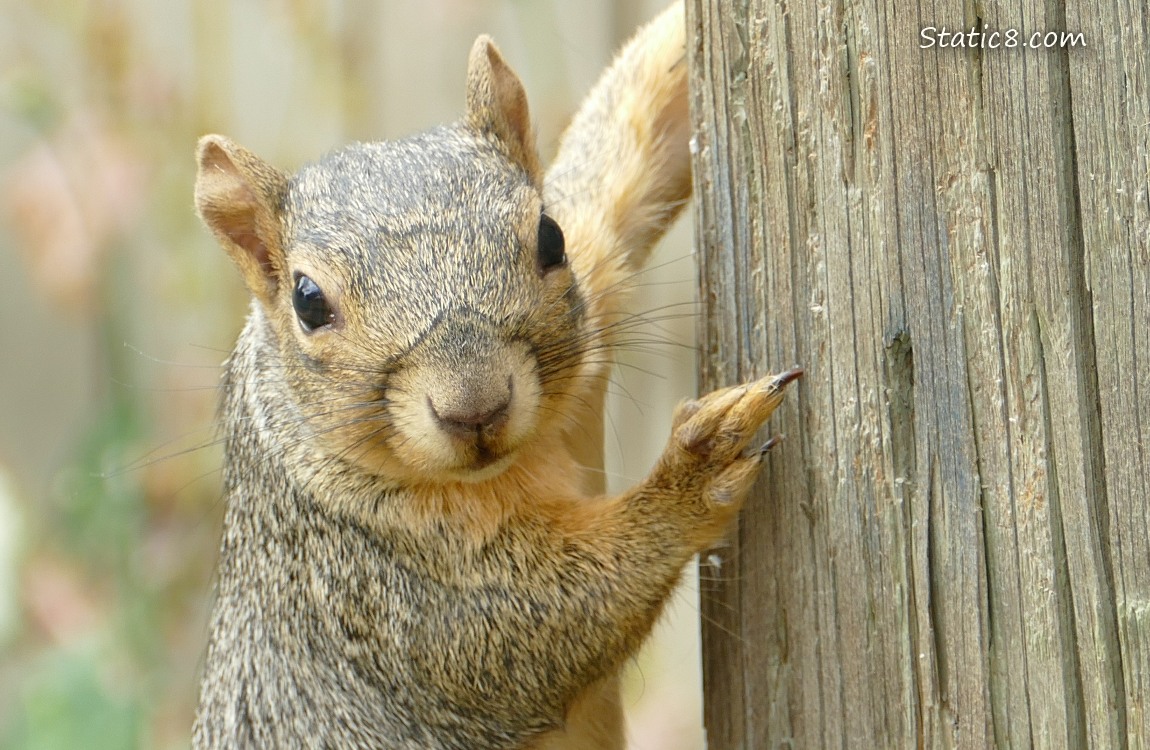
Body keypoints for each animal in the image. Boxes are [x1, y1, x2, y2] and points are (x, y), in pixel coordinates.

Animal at [191, 4, 801, 749]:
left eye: (550, 237)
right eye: (308, 301)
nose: (475, 408)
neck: (525, 457)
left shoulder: (595, 251)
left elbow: (632, 131)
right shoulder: (382, 594)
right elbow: (545, 621)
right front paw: (692, 474)